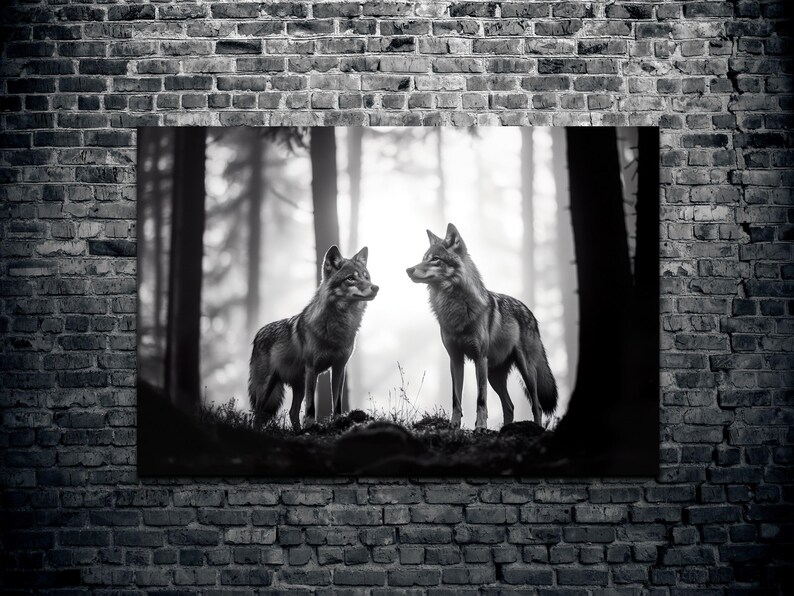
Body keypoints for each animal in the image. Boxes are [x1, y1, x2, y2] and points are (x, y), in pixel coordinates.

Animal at [249, 245, 378, 431]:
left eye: (366, 277)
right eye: (351, 279)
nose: (376, 287)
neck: (338, 327)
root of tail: (258, 333)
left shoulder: (339, 368)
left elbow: (337, 402)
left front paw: (338, 421)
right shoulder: (312, 369)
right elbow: (311, 407)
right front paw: (311, 425)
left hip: (298, 385)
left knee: (292, 412)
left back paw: (299, 432)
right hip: (267, 387)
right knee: (258, 416)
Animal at [406, 223, 557, 430]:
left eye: (435, 259)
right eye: (423, 259)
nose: (408, 269)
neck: (455, 306)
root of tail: (530, 313)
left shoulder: (480, 358)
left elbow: (481, 400)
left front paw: (480, 427)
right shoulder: (455, 359)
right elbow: (456, 399)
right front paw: (454, 426)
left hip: (526, 371)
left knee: (537, 406)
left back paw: (535, 428)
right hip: (495, 376)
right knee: (509, 406)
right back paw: (505, 429)